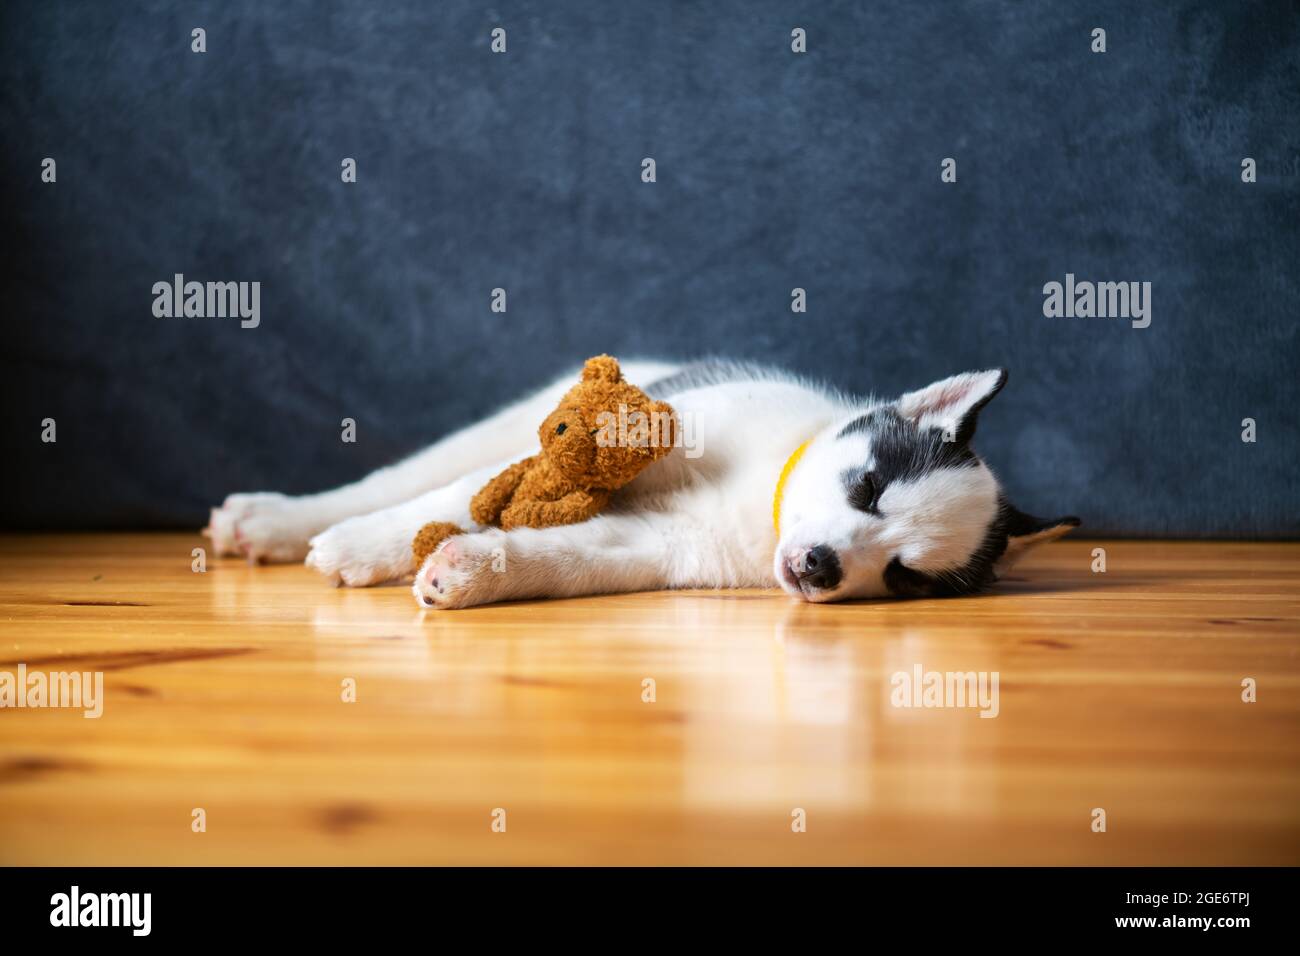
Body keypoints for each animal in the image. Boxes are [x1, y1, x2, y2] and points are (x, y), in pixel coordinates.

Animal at [205, 361, 1076, 608]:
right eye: (867, 489)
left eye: (903, 576)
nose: (820, 567)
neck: (761, 507)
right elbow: (450, 500)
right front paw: (363, 544)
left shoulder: (656, 545)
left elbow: (567, 559)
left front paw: (473, 570)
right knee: (417, 476)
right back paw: (281, 520)